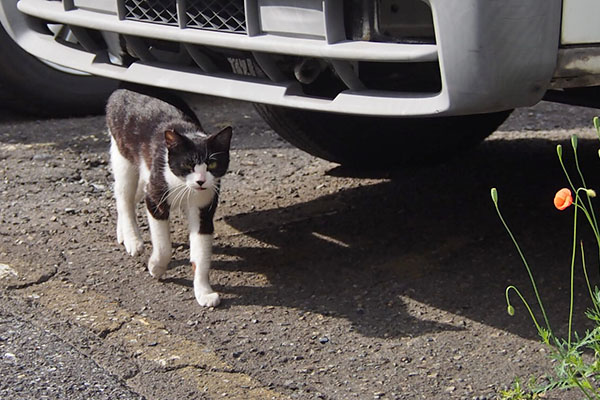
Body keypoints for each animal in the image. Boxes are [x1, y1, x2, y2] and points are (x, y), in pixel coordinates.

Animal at [105, 88, 232, 306]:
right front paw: (156, 267)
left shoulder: (204, 206)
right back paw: (132, 239)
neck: (185, 186)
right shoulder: (156, 196)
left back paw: (122, 233)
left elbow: (201, 251)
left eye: (212, 164)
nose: (200, 181)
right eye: (188, 164)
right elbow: (163, 244)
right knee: (124, 197)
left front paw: (204, 292)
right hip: (123, 154)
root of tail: (122, 90)